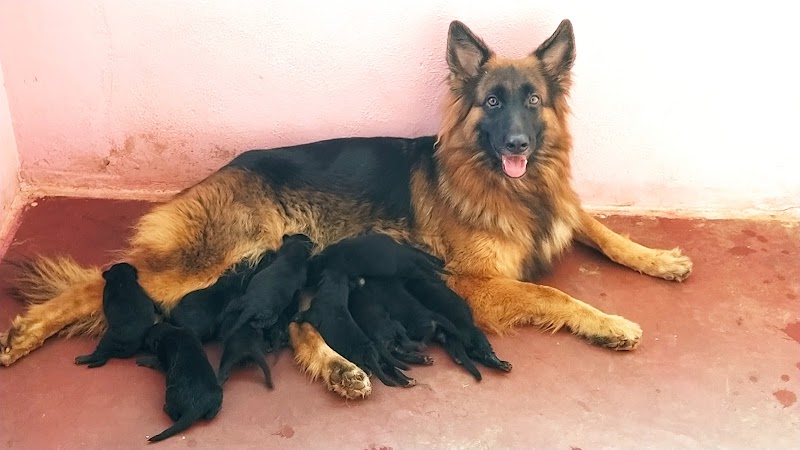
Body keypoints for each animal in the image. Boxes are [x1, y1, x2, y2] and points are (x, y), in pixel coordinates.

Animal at [3, 20, 692, 403]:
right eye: (493, 102)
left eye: (532, 101)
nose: (519, 144)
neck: (514, 186)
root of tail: (220, 170)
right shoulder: (476, 282)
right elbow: (554, 295)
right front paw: (609, 322)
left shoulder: (564, 210)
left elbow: (604, 231)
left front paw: (659, 258)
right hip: (213, 261)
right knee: (102, 281)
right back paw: (24, 332)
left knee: (302, 325)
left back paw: (341, 371)